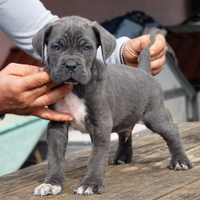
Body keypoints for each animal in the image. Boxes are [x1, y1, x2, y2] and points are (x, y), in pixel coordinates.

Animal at [32, 16, 192, 197]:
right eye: (56, 47)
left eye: (87, 47)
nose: (71, 64)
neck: (75, 88)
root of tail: (144, 72)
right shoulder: (57, 125)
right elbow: (55, 157)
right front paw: (51, 183)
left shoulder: (100, 125)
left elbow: (96, 157)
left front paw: (90, 183)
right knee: (125, 133)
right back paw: (123, 156)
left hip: (155, 116)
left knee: (172, 131)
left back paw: (180, 160)